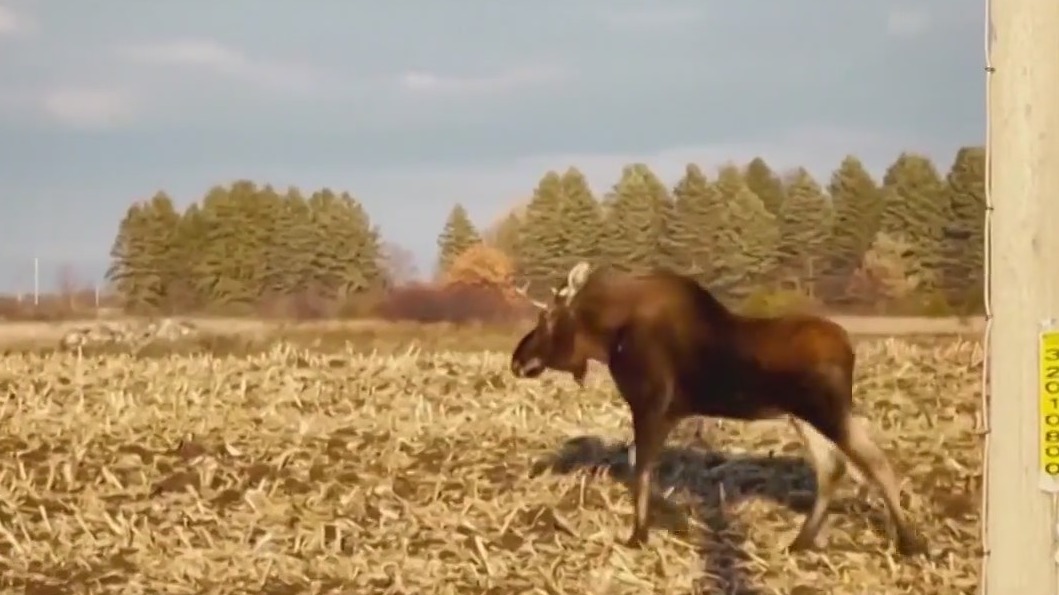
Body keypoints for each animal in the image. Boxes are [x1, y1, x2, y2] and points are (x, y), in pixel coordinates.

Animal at [510, 261, 925, 556]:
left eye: (545, 317)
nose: (517, 360)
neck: (608, 336)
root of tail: (851, 348)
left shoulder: (651, 406)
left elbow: (640, 472)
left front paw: (638, 535)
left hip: (828, 411)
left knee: (876, 462)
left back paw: (910, 541)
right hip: (803, 416)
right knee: (832, 467)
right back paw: (800, 542)